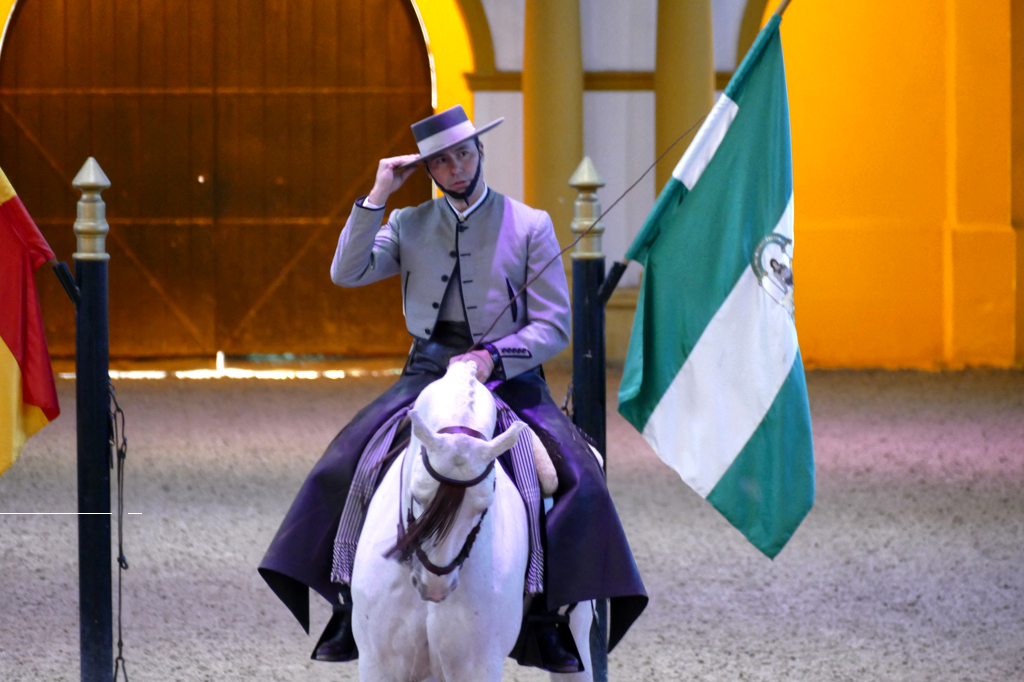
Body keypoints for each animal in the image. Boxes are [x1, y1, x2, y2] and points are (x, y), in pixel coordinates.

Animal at [352, 358, 593, 675]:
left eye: (482, 508)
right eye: (416, 497)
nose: (435, 587)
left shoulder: (476, 664)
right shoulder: (380, 662)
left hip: (578, 626)